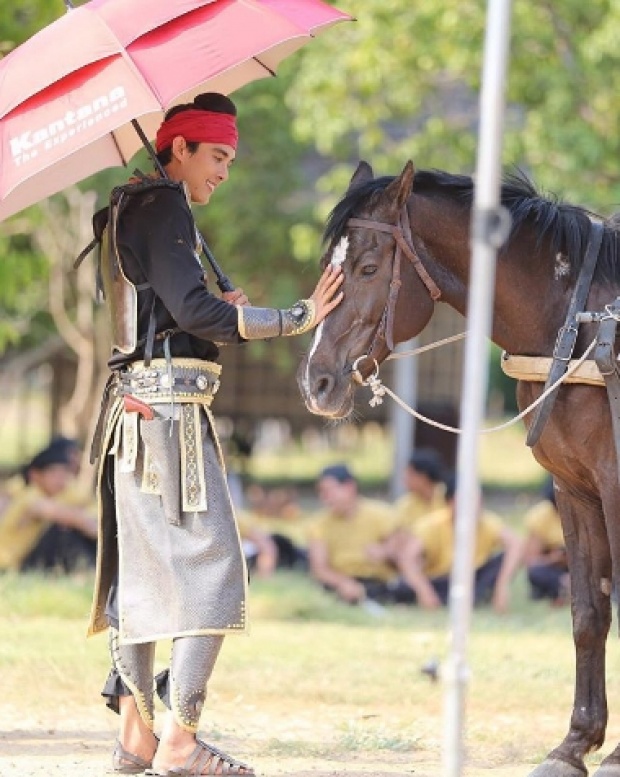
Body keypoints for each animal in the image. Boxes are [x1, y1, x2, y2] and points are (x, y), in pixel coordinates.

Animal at [296, 159, 620, 776]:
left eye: (368, 268)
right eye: (328, 271)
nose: (316, 381)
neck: (582, 324)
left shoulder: (614, 485)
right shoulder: (576, 489)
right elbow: (589, 612)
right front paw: (575, 744)